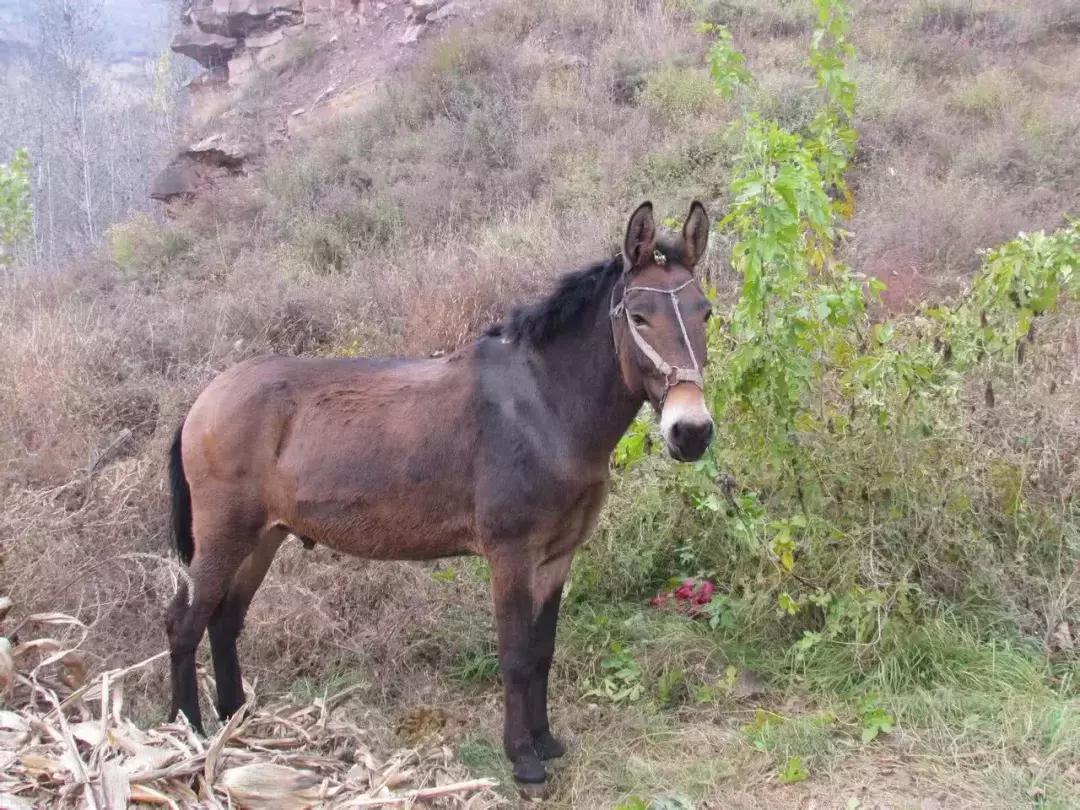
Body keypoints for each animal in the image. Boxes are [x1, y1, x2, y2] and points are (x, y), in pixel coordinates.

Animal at [165, 201, 715, 785]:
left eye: (704, 313)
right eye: (638, 317)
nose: (691, 431)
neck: (542, 406)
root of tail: (205, 399)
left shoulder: (556, 558)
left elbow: (542, 651)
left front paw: (544, 742)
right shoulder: (511, 557)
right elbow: (516, 656)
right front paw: (523, 761)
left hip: (263, 538)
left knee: (224, 621)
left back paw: (235, 719)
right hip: (224, 537)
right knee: (184, 625)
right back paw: (187, 732)